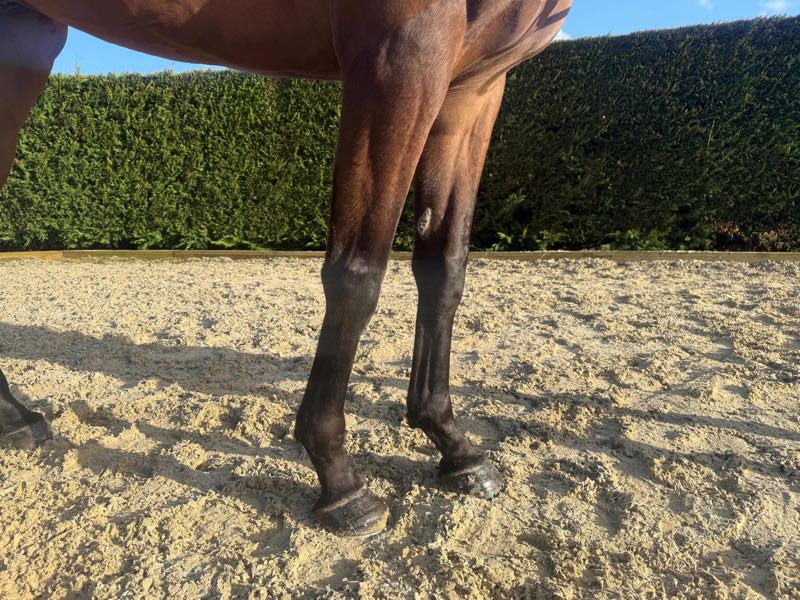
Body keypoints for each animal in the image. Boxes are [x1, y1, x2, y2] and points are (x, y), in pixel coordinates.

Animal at [0, 0, 572, 537]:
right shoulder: (398, 58)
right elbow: (356, 275)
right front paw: (339, 480)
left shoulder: (473, 89)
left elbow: (444, 270)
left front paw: (453, 445)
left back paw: (15, 421)